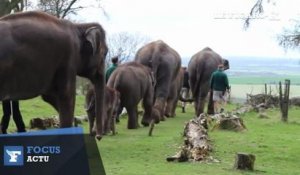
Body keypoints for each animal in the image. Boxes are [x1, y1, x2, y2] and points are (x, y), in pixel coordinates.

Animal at [0, 11, 108, 139]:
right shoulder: (68, 60)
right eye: (105, 53)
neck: (79, 27)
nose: (98, 136)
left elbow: (51, 97)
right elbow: (67, 98)